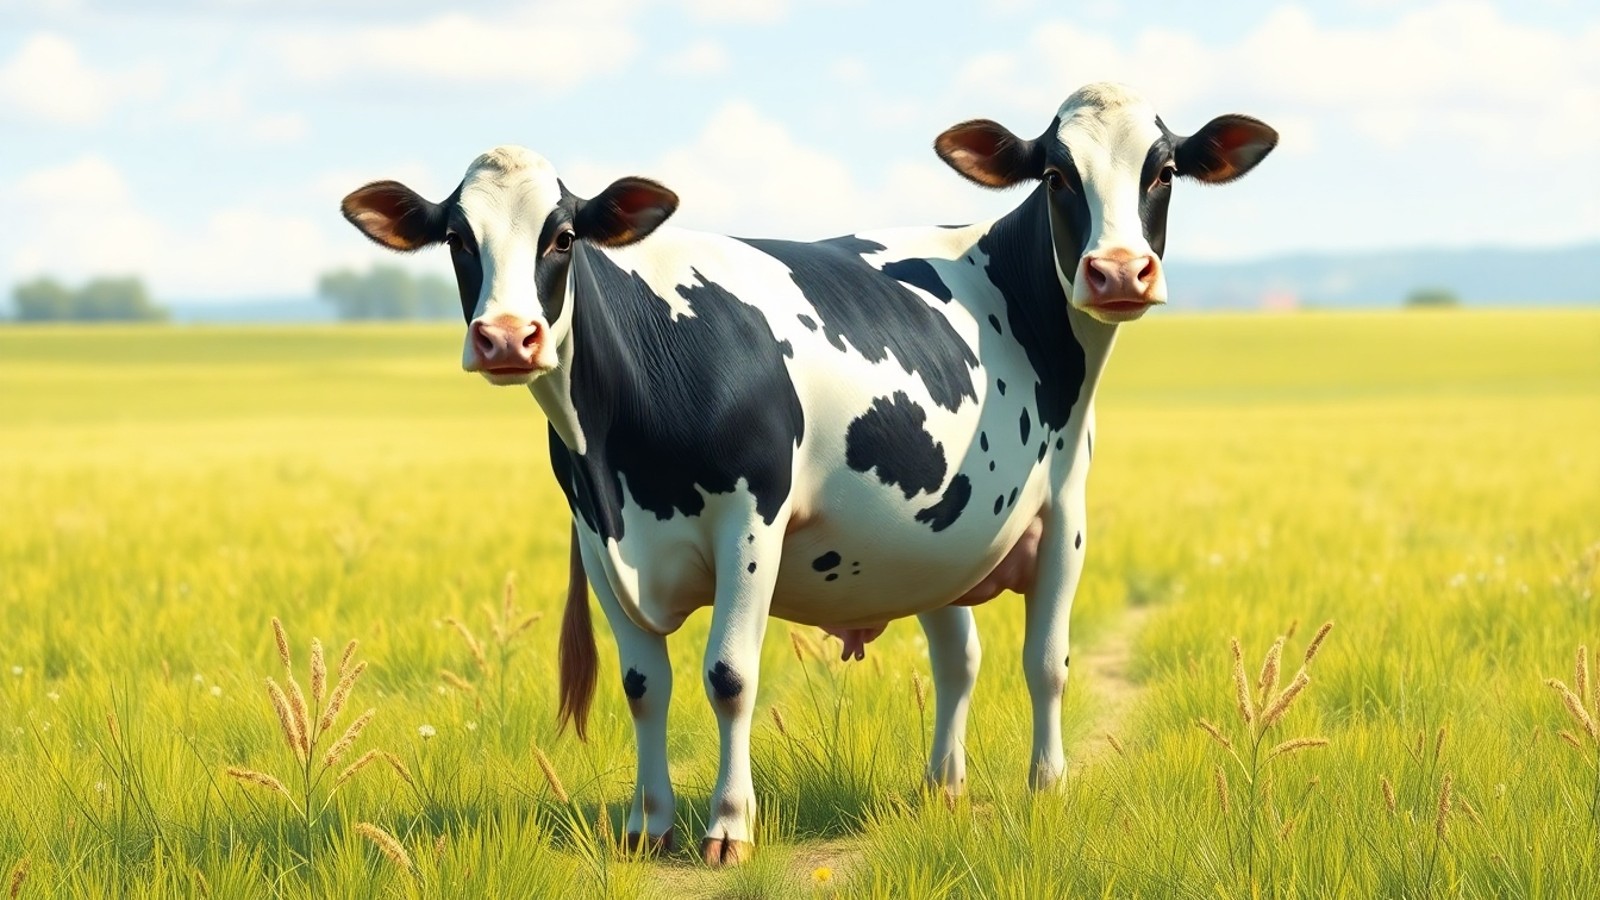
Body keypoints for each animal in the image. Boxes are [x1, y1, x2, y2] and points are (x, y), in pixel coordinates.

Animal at [340, 82, 1276, 866]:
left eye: (562, 235)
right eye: (457, 238)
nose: (507, 338)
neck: (617, 447)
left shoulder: (751, 518)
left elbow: (729, 676)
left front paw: (727, 827)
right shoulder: (599, 536)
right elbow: (645, 686)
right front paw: (648, 825)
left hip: (1064, 514)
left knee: (1044, 659)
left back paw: (1045, 788)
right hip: (934, 534)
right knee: (959, 658)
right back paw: (940, 789)